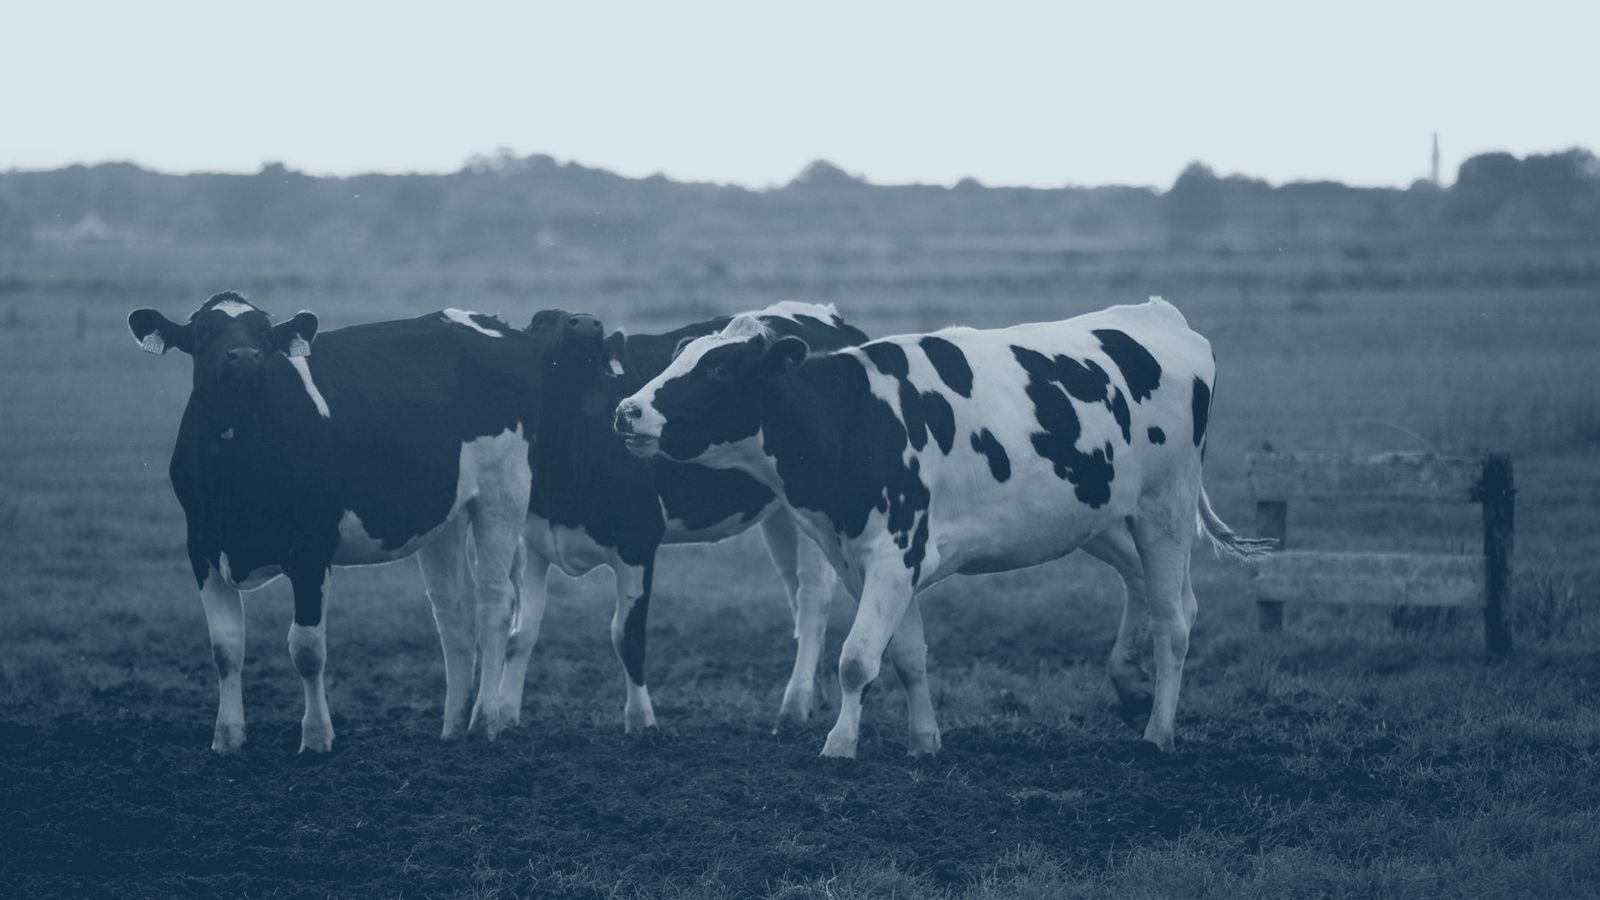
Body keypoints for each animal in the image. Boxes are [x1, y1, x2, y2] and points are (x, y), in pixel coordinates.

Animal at [127, 292, 544, 753]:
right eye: (205, 333)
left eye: (265, 335)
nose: (245, 358)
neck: (237, 475)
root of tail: (491, 322)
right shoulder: (201, 548)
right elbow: (226, 648)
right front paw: (228, 737)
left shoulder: (311, 549)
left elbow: (307, 650)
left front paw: (315, 737)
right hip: (445, 514)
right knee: (452, 615)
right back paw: (452, 726)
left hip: (503, 491)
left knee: (495, 603)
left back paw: (484, 720)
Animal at [500, 302, 868, 733]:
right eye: (540, 322)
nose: (587, 323)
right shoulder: (533, 542)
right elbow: (521, 634)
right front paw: (502, 715)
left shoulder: (638, 541)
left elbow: (627, 636)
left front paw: (641, 723)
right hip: (782, 514)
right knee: (796, 595)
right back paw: (812, 695)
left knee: (812, 599)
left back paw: (793, 706)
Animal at [614, 297, 1272, 757]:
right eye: (679, 358)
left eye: (720, 368)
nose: (627, 410)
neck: (852, 418)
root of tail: (1161, 316)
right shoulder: (872, 560)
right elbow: (907, 656)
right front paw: (923, 741)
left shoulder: (893, 552)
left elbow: (857, 659)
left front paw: (839, 745)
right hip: (1103, 514)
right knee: (1152, 591)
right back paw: (1131, 689)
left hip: (1166, 507)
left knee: (1174, 620)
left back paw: (1158, 731)